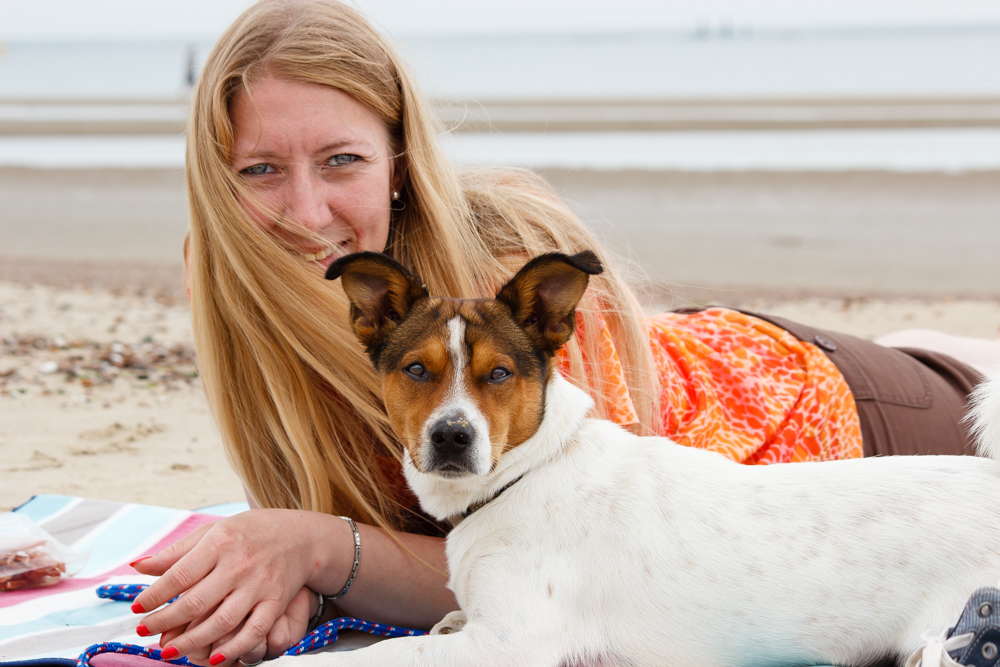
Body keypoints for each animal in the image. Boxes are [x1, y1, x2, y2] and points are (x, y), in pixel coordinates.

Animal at [282, 252, 1000, 667]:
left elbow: (358, 658)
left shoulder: (507, 644)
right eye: (416, 370)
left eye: (500, 374)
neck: (525, 474)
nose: (452, 437)